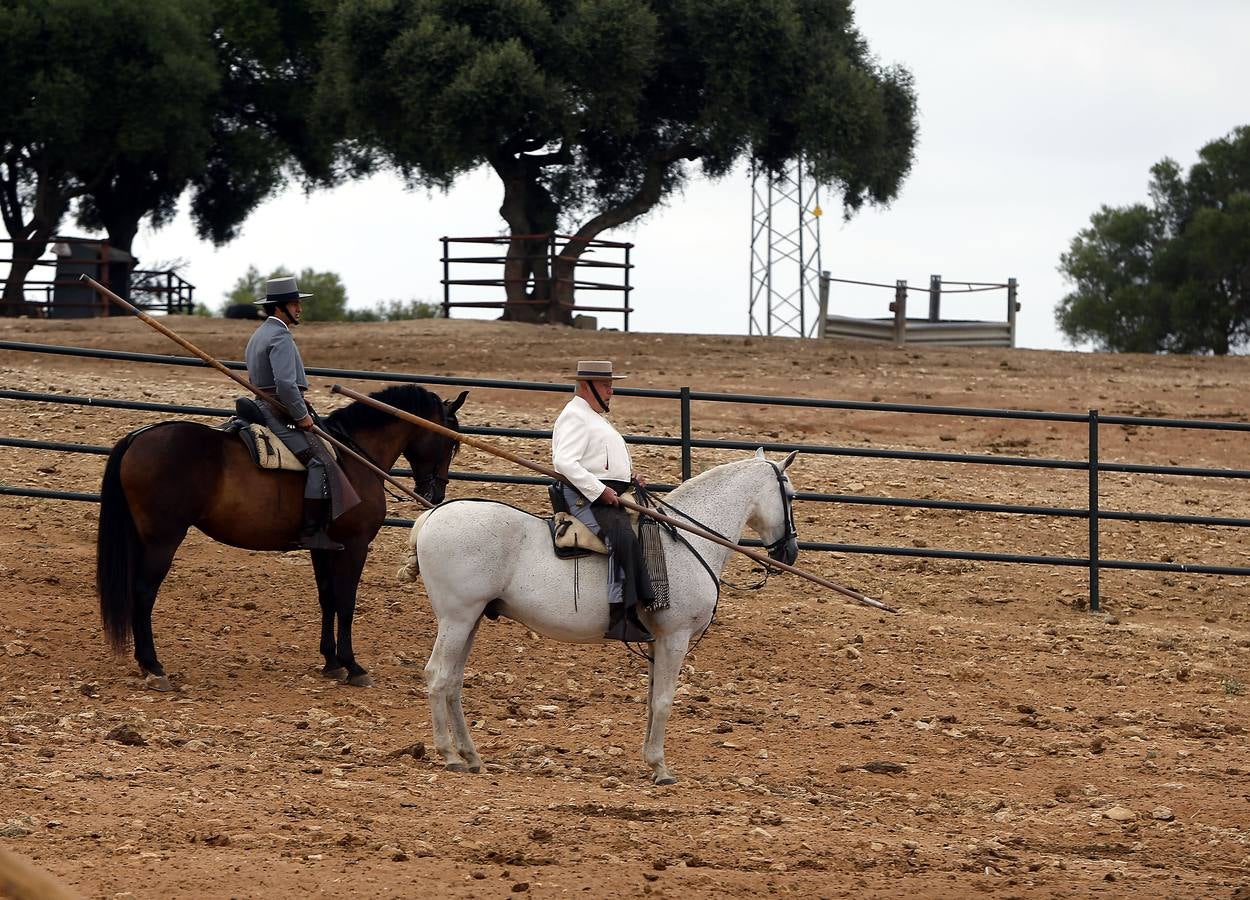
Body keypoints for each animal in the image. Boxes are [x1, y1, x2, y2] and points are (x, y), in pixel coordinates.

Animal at [96, 385, 470, 690]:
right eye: (451, 442)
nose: (436, 493)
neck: (353, 456)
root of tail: (139, 436)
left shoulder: (325, 547)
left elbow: (328, 598)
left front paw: (331, 662)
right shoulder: (355, 545)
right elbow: (346, 601)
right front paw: (353, 666)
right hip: (162, 540)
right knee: (143, 593)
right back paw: (153, 667)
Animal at [407, 447, 800, 780]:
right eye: (791, 496)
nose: (791, 552)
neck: (684, 541)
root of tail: (432, 516)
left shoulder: (657, 642)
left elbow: (651, 701)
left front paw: (649, 760)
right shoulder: (674, 638)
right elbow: (664, 701)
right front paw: (661, 768)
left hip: (470, 620)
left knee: (454, 682)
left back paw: (471, 756)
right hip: (457, 619)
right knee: (438, 676)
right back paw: (450, 755)